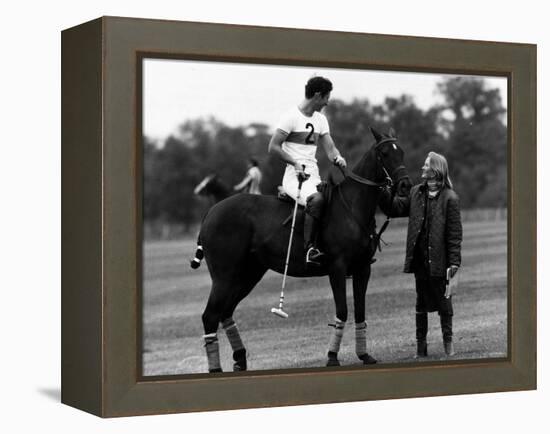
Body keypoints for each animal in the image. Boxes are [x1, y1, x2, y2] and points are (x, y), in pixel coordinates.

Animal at [192, 127, 412, 372]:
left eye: (401, 152)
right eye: (384, 153)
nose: (405, 185)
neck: (353, 207)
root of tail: (210, 213)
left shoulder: (363, 268)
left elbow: (360, 311)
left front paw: (364, 355)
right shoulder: (337, 268)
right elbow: (342, 310)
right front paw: (332, 357)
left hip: (248, 274)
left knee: (225, 312)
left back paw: (240, 360)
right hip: (224, 275)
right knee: (210, 315)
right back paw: (216, 369)